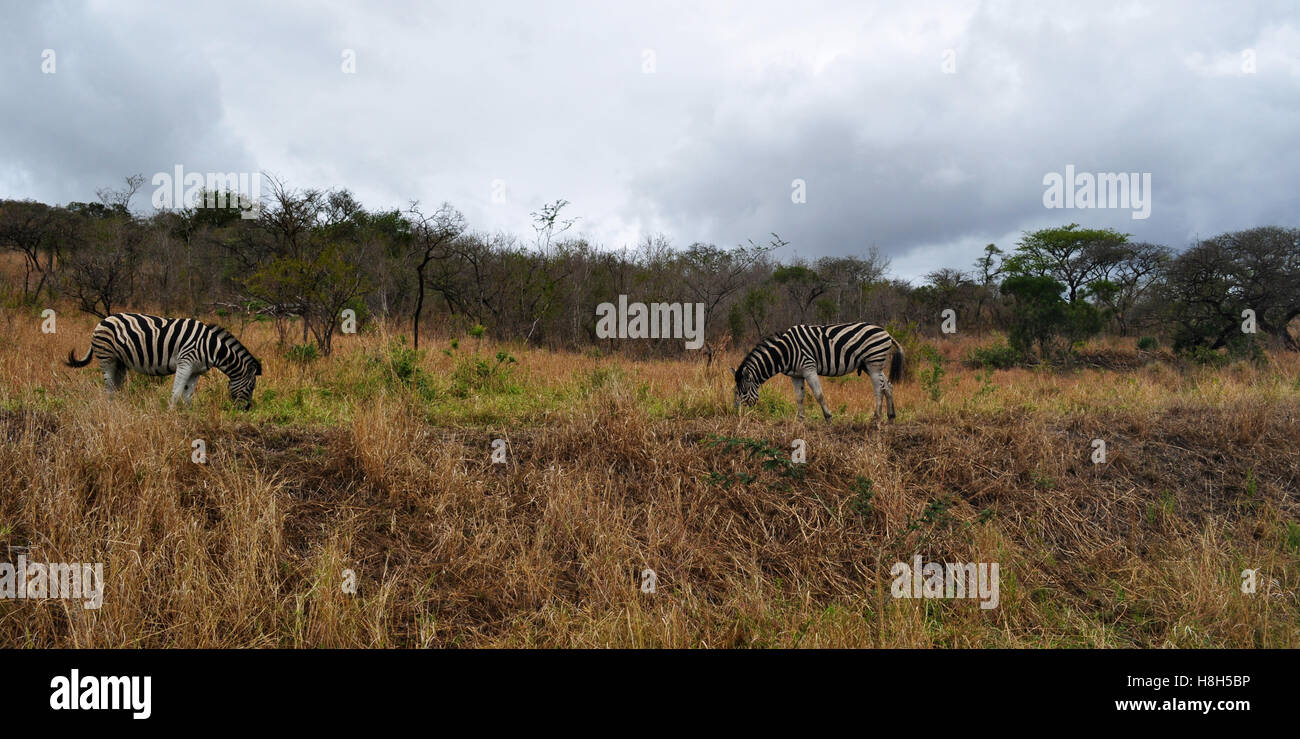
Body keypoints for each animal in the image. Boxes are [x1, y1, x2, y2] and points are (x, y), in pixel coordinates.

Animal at [64, 313, 262, 411]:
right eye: (252, 386)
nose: (246, 409)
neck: (211, 347)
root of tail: (103, 320)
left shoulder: (196, 371)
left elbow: (188, 395)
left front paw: (189, 415)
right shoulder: (185, 362)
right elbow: (176, 392)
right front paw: (171, 414)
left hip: (120, 362)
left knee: (115, 388)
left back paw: (117, 409)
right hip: (107, 358)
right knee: (109, 387)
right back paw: (110, 410)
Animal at [733, 321, 904, 421]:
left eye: (743, 391)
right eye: (735, 391)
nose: (737, 415)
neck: (785, 352)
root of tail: (887, 332)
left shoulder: (809, 368)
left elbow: (818, 394)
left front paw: (828, 417)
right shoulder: (796, 375)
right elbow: (799, 397)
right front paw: (801, 420)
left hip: (874, 363)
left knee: (879, 389)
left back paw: (876, 418)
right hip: (871, 365)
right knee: (888, 386)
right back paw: (891, 417)